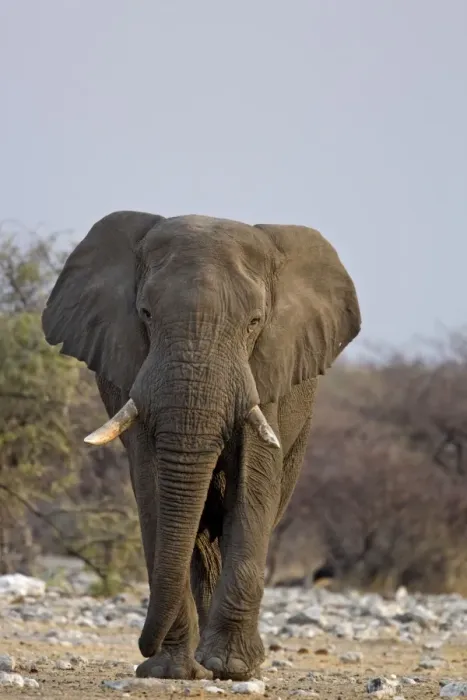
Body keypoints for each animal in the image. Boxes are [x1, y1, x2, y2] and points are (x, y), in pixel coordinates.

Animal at [41, 211, 361, 681]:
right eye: (145, 314)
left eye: (254, 322)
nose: (143, 648)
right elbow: (153, 485)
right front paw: (171, 671)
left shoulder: (268, 370)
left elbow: (254, 482)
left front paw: (232, 668)